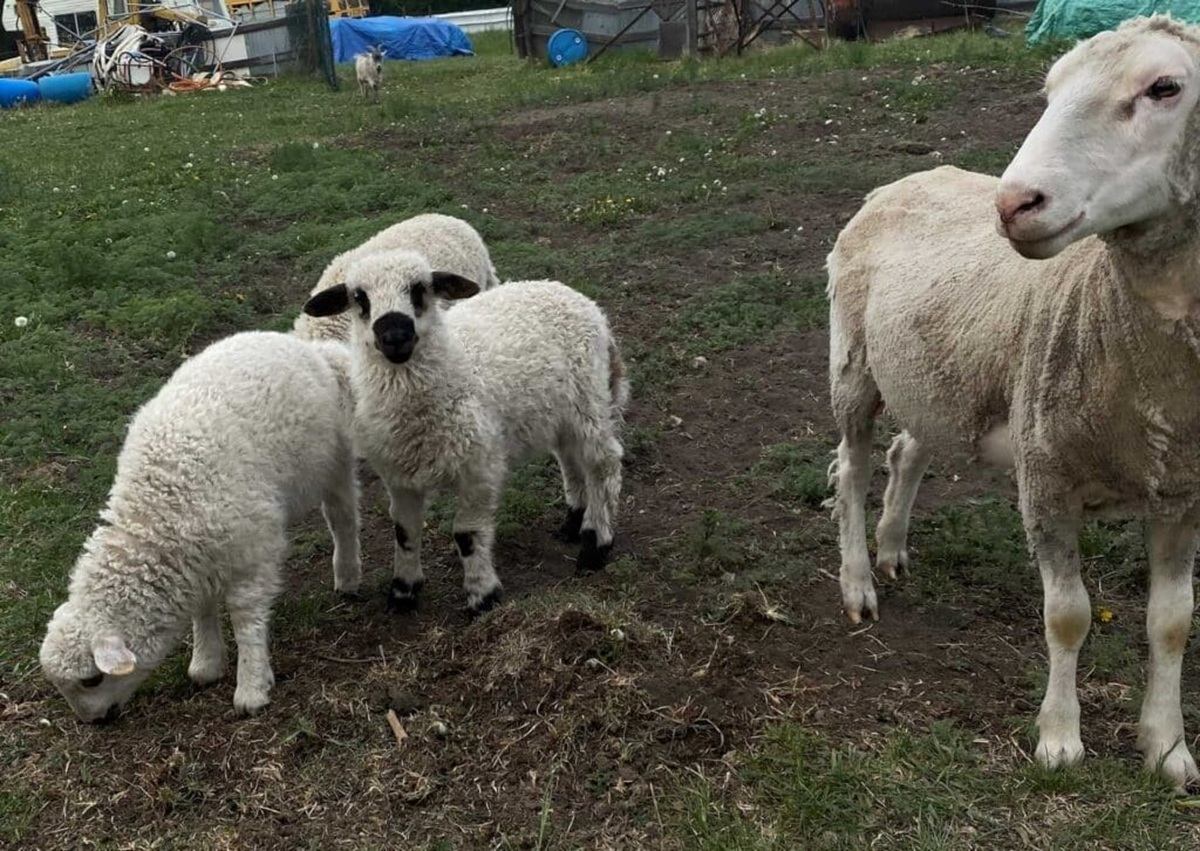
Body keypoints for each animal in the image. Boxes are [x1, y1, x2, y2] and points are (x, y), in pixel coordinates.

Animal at [39, 332, 361, 721]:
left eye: (91, 680)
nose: (95, 722)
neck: (156, 510)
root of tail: (311, 349)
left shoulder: (253, 551)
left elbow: (245, 619)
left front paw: (252, 686)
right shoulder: (196, 556)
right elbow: (202, 608)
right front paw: (206, 663)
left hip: (334, 459)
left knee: (343, 517)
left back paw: (348, 575)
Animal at [302, 250, 627, 615]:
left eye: (420, 289)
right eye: (359, 298)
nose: (395, 336)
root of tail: (573, 295)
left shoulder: (479, 467)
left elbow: (467, 535)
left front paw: (482, 596)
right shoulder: (399, 475)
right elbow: (404, 532)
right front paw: (403, 592)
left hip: (589, 399)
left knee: (603, 465)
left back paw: (595, 545)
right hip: (560, 413)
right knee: (570, 459)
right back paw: (573, 524)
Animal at [825, 15, 1200, 788]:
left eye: (1165, 87)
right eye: (1049, 90)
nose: (1013, 203)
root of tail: (904, 179)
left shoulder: (1183, 492)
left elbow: (1172, 622)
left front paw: (1168, 748)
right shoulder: (1047, 474)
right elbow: (1068, 615)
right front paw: (1059, 740)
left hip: (940, 373)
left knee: (908, 449)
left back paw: (892, 546)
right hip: (854, 361)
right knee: (851, 466)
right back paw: (857, 584)